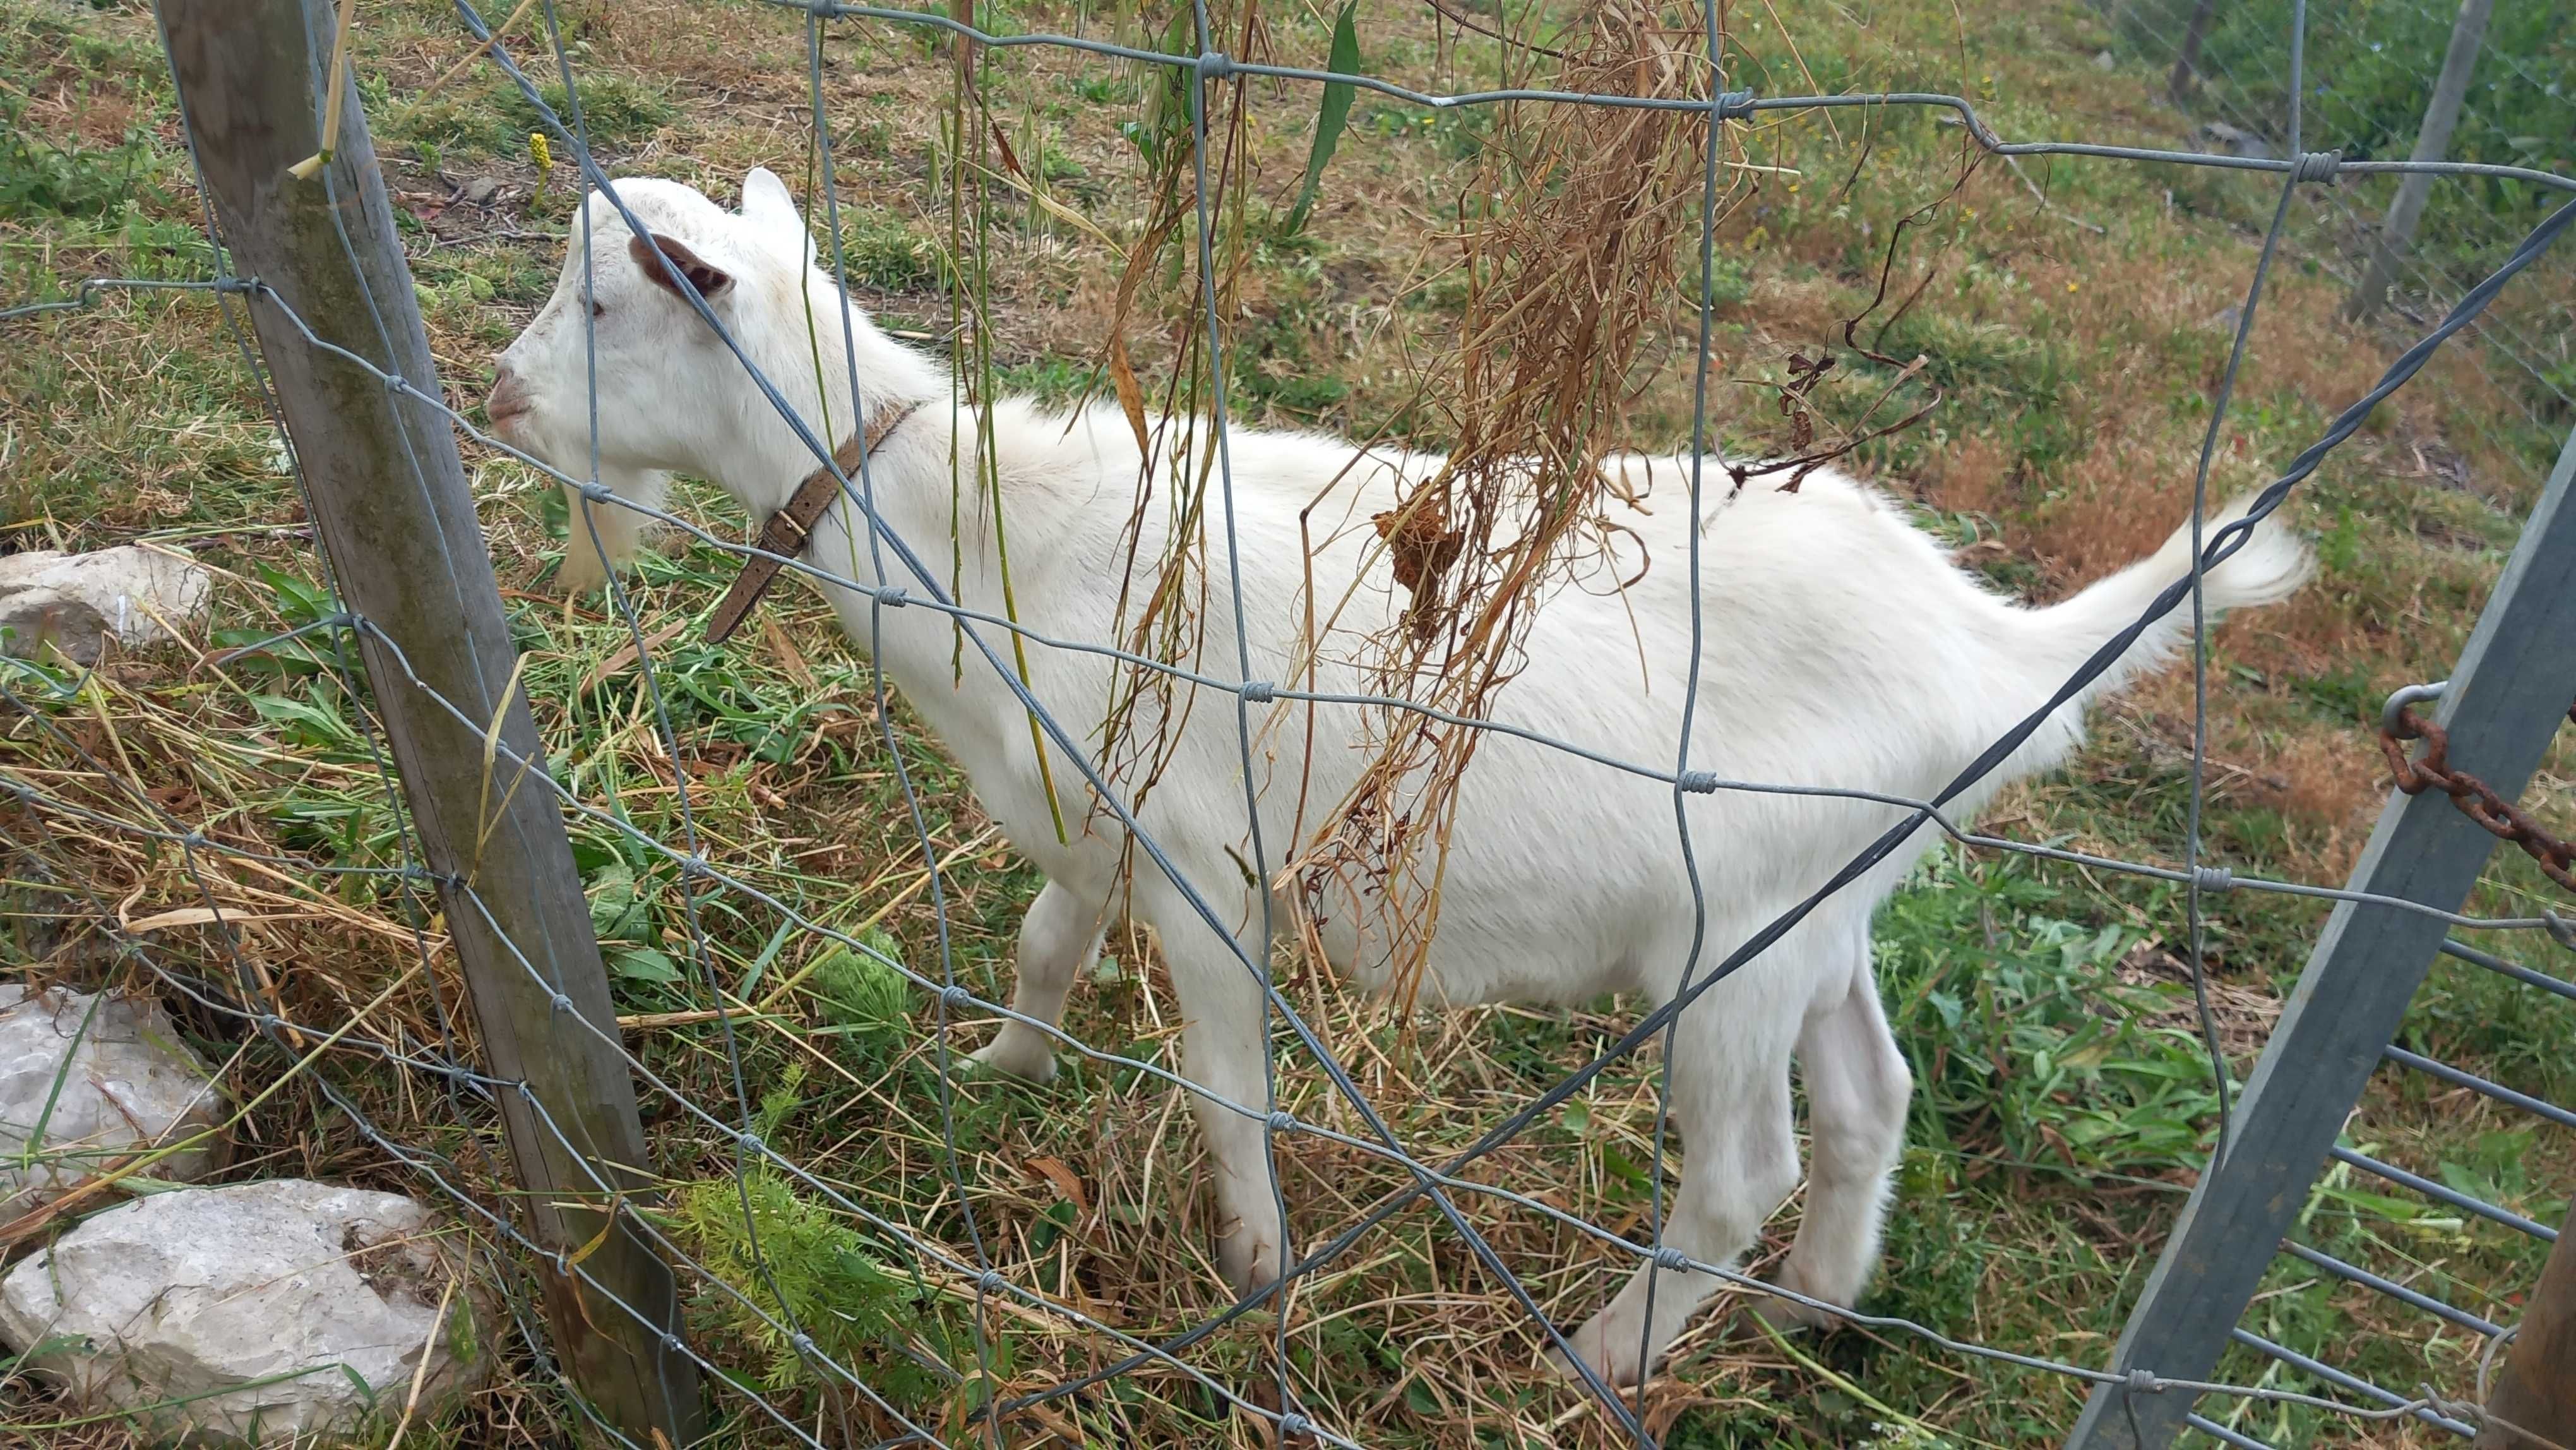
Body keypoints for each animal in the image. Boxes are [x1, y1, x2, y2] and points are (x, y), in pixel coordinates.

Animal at [487, 167, 2318, 1380]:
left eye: (604, 304)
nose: (499, 395)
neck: (982, 533)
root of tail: (1988, 648)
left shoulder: (1207, 862)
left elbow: (1227, 1085)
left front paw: (1254, 1273)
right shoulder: (1097, 819)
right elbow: (1040, 945)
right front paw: (991, 1069)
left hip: (1731, 940)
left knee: (1741, 1171)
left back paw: (1602, 1359)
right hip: (1828, 910)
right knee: (1873, 1100)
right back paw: (1815, 1306)